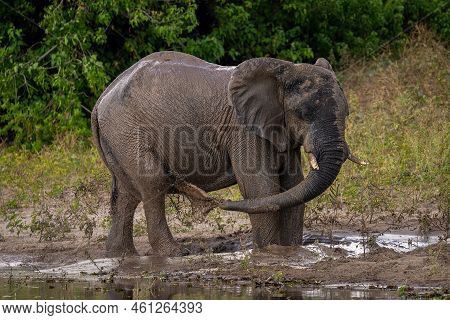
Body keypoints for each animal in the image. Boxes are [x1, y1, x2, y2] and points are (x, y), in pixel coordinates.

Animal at [92, 52, 366, 258]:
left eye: (347, 113)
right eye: (302, 114)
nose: (205, 202)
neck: (284, 69)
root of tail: (100, 100)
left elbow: (293, 185)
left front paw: (291, 252)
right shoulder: (243, 128)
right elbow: (261, 187)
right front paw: (270, 253)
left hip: (119, 138)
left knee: (127, 195)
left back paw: (121, 256)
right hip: (127, 131)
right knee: (153, 183)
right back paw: (174, 254)